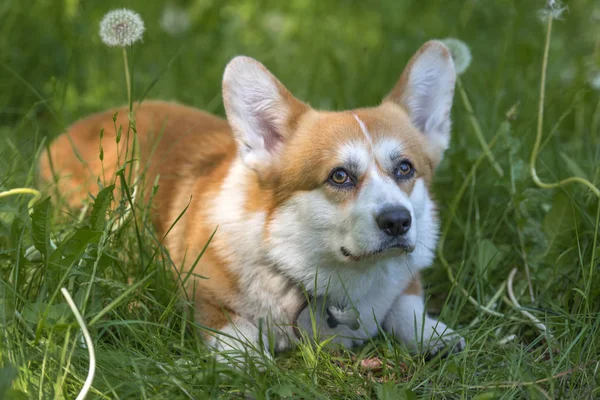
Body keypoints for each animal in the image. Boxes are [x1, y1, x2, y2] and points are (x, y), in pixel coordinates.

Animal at [39, 39, 466, 366]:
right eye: (339, 176)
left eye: (405, 169)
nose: (397, 221)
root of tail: (72, 131)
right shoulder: (204, 297)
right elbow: (237, 335)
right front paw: (250, 361)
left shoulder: (402, 281)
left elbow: (407, 304)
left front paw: (434, 335)